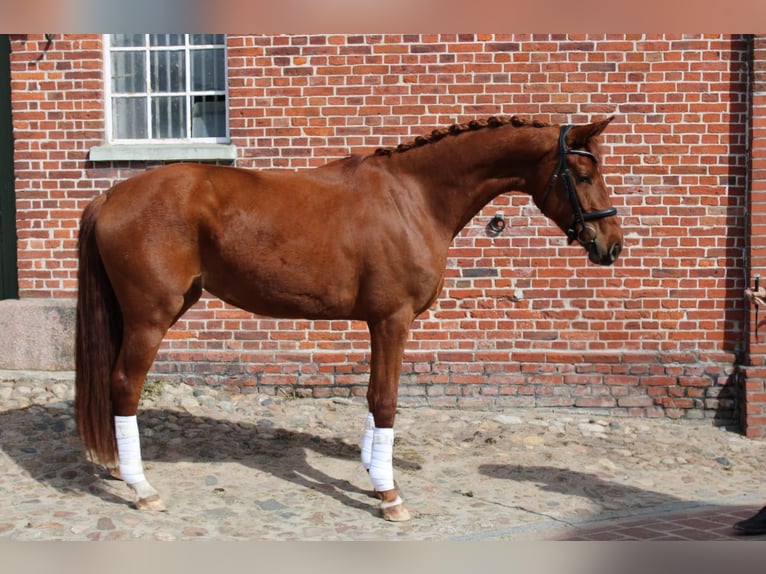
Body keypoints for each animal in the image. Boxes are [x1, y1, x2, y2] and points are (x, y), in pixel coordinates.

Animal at [74, 115, 623, 521]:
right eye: (583, 176)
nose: (611, 246)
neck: (414, 197)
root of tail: (110, 195)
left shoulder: (379, 323)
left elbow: (372, 399)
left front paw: (373, 476)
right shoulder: (392, 320)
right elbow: (386, 401)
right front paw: (389, 494)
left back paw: (118, 469)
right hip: (150, 317)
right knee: (124, 385)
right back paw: (142, 488)